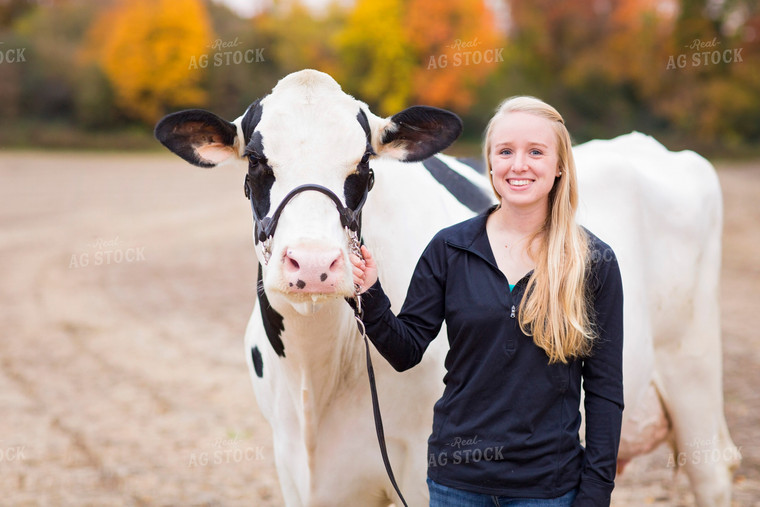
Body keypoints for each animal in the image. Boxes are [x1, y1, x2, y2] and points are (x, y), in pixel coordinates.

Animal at [154, 68, 736, 507]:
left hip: (697, 374)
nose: (315, 263)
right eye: (256, 161)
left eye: (364, 164)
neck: (316, 375)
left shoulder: (418, 465)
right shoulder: (297, 468)